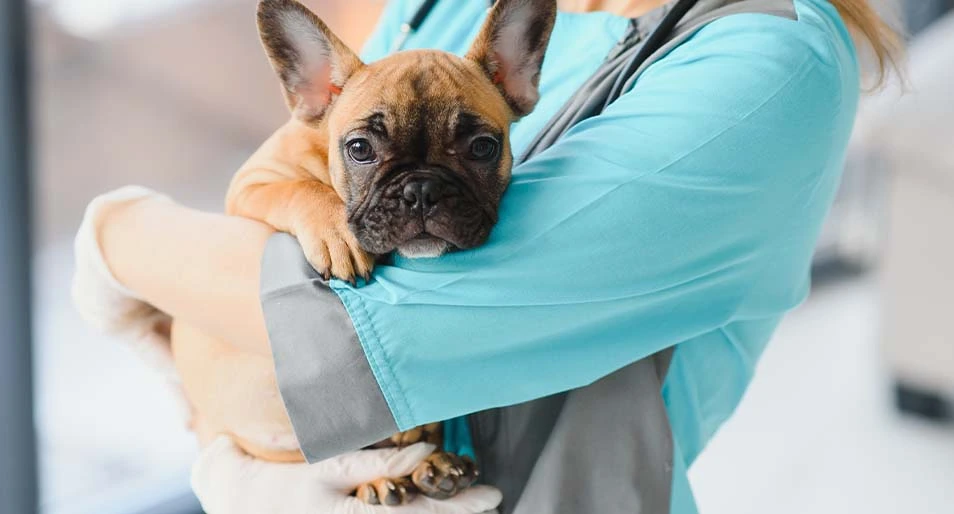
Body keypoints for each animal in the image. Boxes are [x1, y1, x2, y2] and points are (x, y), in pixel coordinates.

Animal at [170, 0, 556, 504]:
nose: (421, 190)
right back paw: (379, 476)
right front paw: (337, 234)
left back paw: (433, 464)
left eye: (482, 148)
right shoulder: (252, 184)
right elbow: (300, 188)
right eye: (359, 149)